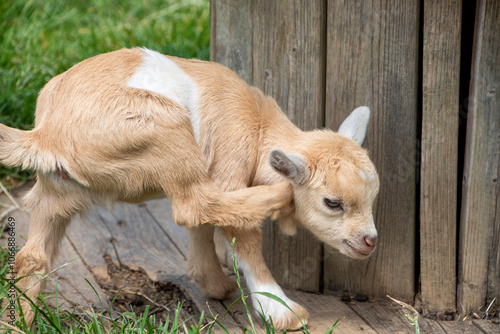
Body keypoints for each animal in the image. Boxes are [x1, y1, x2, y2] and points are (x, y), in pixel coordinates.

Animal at [0, 48, 376, 330]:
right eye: (332, 203)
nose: (370, 241)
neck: (259, 126)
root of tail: (48, 135)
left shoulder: (210, 166)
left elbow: (203, 230)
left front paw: (213, 283)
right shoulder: (230, 158)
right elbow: (242, 237)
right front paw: (282, 312)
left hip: (54, 193)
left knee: (32, 256)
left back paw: (18, 322)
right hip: (164, 126)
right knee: (192, 205)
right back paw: (278, 198)